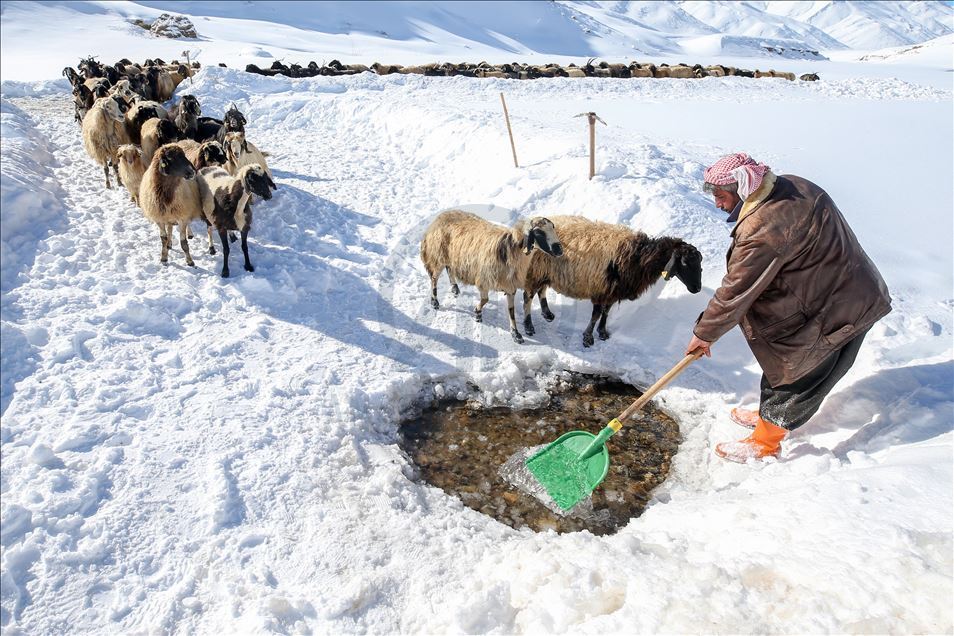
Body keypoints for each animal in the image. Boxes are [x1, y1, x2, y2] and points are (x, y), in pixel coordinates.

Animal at [418, 211, 564, 342]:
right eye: (539, 233)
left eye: (553, 227)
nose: (559, 250)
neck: (509, 249)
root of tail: (442, 215)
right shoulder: (484, 280)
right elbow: (485, 299)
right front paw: (477, 313)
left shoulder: (510, 285)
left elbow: (511, 310)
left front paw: (515, 334)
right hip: (438, 255)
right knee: (434, 278)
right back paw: (434, 301)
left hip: (451, 256)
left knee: (449, 269)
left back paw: (454, 288)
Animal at [516, 215, 704, 346]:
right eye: (684, 263)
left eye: (700, 264)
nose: (697, 288)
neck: (638, 257)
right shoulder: (601, 289)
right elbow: (596, 314)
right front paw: (588, 338)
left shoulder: (612, 291)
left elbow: (606, 312)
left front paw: (602, 332)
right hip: (535, 271)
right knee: (528, 297)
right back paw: (528, 326)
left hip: (545, 272)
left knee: (542, 290)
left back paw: (547, 313)